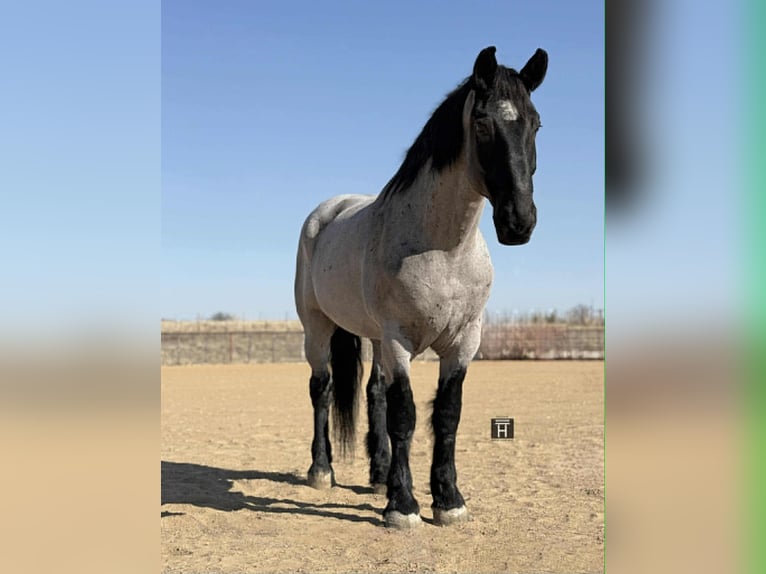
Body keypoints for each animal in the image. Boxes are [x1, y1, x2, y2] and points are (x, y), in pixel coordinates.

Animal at [294, 46, 547, 529]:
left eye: (536, 123)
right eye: (483, 122)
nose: (519, 221)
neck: (443, 250)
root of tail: (326, 212)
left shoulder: (464, 342)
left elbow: (446, 415)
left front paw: (447, 500)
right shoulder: (400, 341)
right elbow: (405, 416)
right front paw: (404, 505)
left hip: (372, 336)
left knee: (373, 394)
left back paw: (378, 476)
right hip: (317, 328)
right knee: (322, 389)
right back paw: (322, 470)